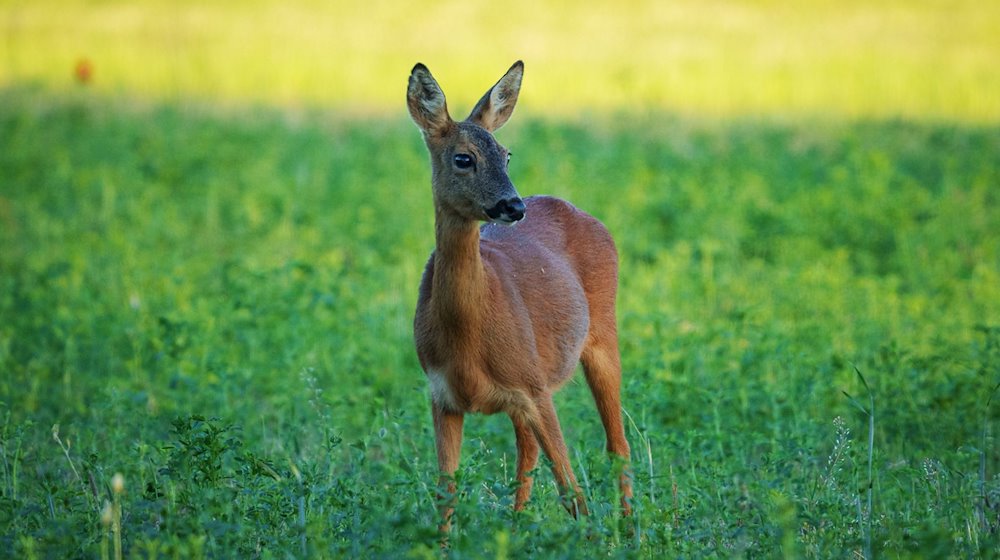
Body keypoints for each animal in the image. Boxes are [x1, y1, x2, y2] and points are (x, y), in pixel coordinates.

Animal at [408, 60, 632, 528]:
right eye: (464, 158)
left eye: (507, 154)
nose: (513, 206)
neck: (467, 335)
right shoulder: (441, 394)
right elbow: (446, 493)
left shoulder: (534, 386)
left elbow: (572, 491)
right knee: (526, 454)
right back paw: (517, 526)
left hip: (603, 334)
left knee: (617, 445)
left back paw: (630, 528)